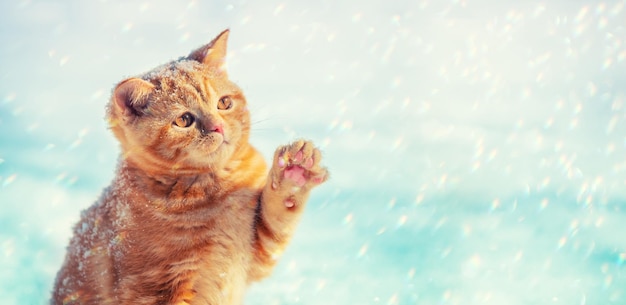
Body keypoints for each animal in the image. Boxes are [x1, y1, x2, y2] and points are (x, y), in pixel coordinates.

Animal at [50, 30, 326, 304]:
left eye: (224, 103)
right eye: (184, 120)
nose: (218, 127)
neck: (217, 189)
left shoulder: (258, 250)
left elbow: (278, 215)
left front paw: (295, 173)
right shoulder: (155, 287)